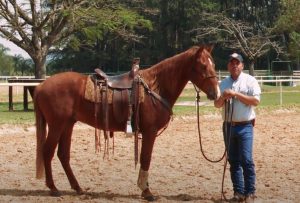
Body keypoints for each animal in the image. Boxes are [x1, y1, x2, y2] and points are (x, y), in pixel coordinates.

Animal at [34, 44, 220, 200]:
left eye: (214, 65)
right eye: (203, 66)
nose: (216, 93)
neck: (156, 87)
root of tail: (41, 87)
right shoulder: (150, 131)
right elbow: (146, 158)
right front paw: (146, 191)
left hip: (68, 125)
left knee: (63, 154)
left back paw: (77, 187)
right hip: (57, 125)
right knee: (48, 151)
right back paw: (53, 188)